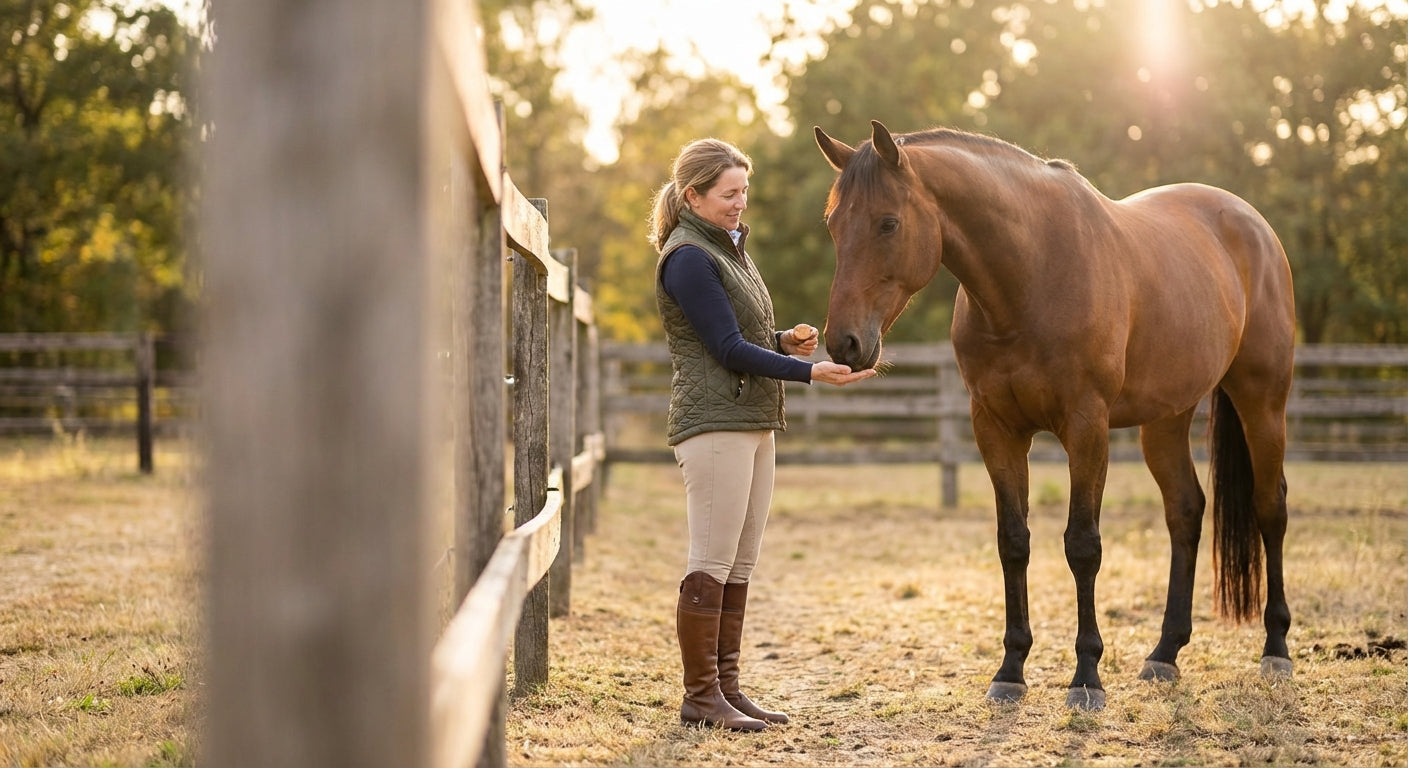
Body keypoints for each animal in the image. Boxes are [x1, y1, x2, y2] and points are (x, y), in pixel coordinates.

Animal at [813, 120, 1295, 711]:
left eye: (888, 222)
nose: (844, 343)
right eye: (834, 224)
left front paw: (1086, 675)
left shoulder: (1086, 428)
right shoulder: (995, 430)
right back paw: (1164, 653)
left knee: (1270, 508)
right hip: (1166, 419)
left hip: (1262, 401)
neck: (1031, 276)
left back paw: (1276, 648)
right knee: (1185, 511)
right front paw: (1011, 670)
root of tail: (1251, 223)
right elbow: (1013, 542)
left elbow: (1082, 545)